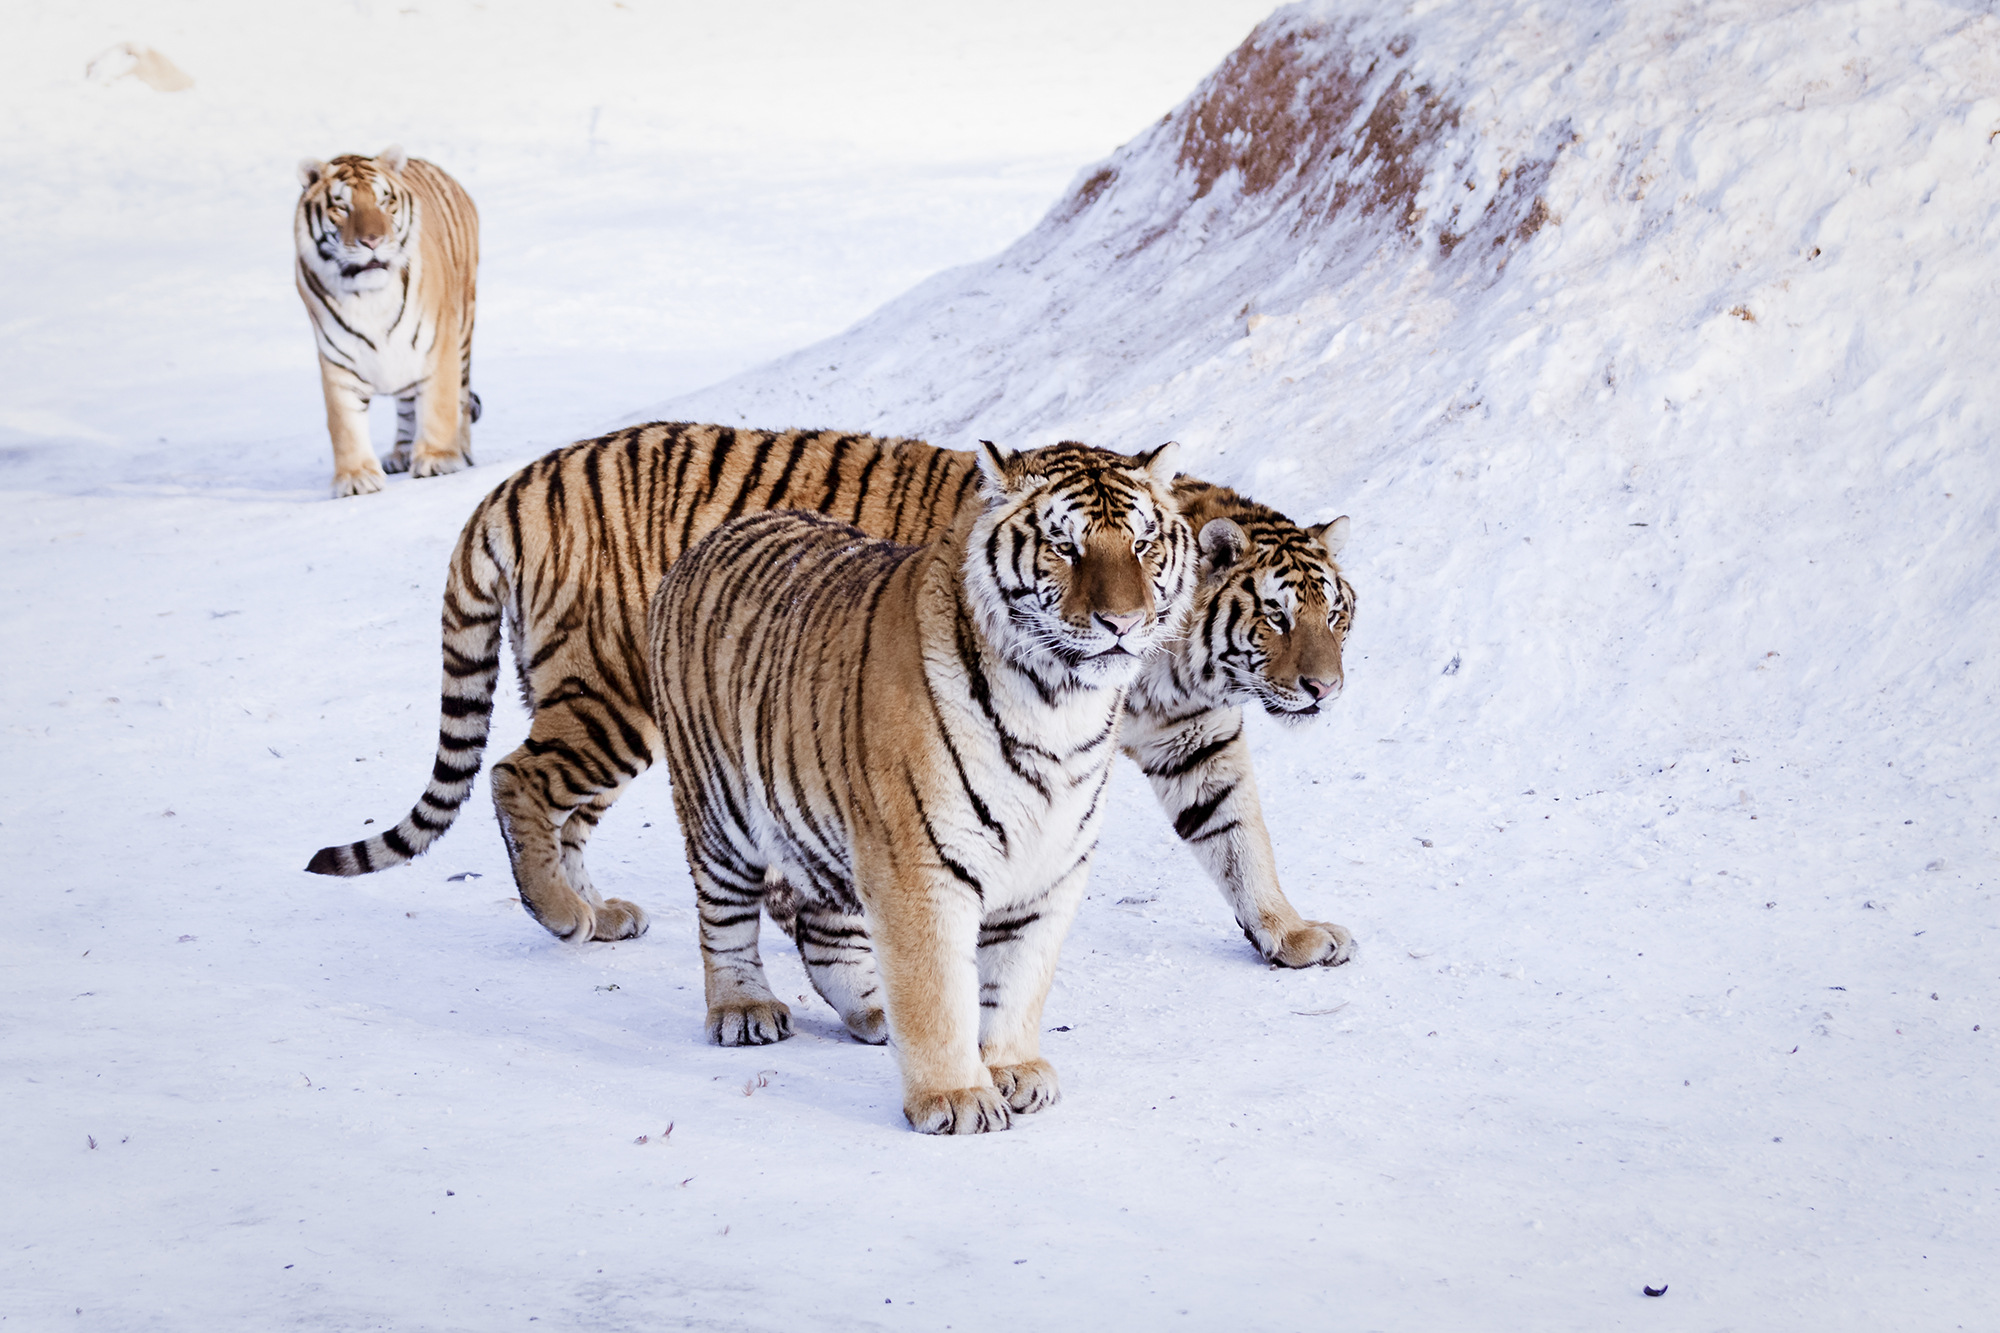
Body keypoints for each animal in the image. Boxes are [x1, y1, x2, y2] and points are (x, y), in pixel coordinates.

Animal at [294, 145, 482, 498]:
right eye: (342, 207)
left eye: (383, 202)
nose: (372, 241)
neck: (369, 299)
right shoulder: (336, 359)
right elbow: (344, 422)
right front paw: (355, 478)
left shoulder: (439, 343)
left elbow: (439, 404)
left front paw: (437, 459)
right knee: (407, 404)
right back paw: (401, 454)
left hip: (463, 331)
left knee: (460, 400)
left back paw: (460, 451)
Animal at [300, 422, 1360, 964]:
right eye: (1275, 617)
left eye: (1337, 615)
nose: (1325, 688)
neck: (1171, 662)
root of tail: (521, 479)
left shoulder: (1195, 741)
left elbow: (1242, 839)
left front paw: (1290, 931)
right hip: (613, 692)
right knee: (516, 778)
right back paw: (563, 913)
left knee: (562, 808)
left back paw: (595, 910)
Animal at [648, 440, 1192, 1128]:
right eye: (1064, 546)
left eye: (1143, 545)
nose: (1122, 622)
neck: (1059, 704)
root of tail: (712, 538)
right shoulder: (917, 861)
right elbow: (935, 986)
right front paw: (956, 1098)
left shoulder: (1051, 866)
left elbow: (1017, 980)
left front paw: (1011, 1069)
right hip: (720, 812)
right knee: (723, 918)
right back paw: (743, 1010)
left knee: (823, 930)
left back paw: (875, 1011)